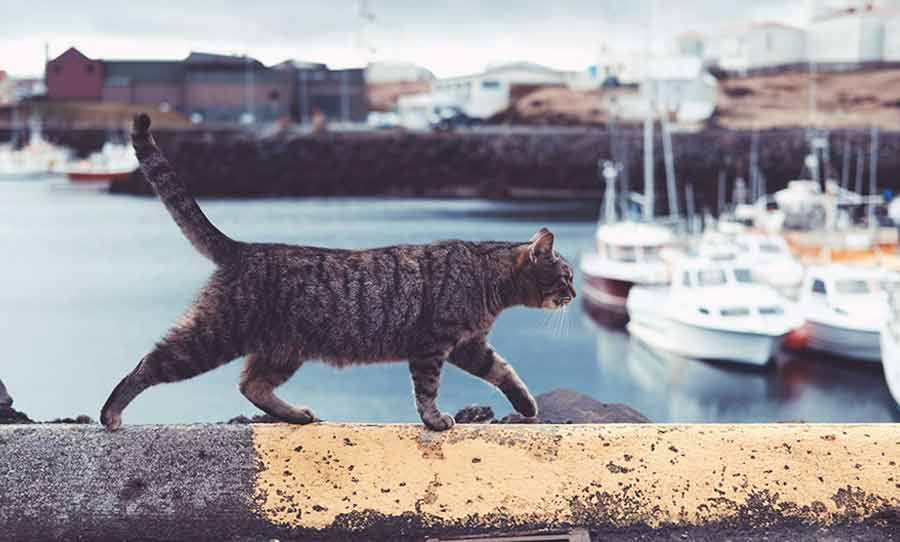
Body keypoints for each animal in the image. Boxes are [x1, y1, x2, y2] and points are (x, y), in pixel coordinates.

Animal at [100, 115, 576, 434]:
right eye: (566, 276)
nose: (573, 294)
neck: (485, 275)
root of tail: (243, 247)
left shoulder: (469, 346)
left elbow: (505, 372)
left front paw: (526, 406)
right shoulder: (433, 344)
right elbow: (427, 390)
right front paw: (434, 419)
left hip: (281, 351)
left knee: (252, 386)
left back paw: (295, 415)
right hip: (213, 336)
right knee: (150, 363)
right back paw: (111, 413)